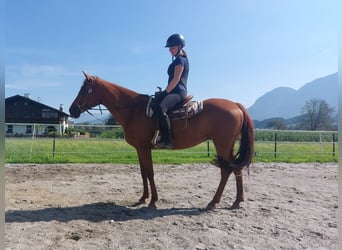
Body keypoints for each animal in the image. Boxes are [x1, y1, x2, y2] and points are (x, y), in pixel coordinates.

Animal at [69, 71, 254, 210]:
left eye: (85, 90)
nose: (72, 110)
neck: (133, 110)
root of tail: (235, 105)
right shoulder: (139, 148)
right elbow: (143, 172)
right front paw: (143, 198)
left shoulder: (144, 148)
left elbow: (150, 172)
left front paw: (153, 201)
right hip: (228, 145)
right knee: (235, 168)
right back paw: (237, 201)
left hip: (222, 144)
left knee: (226, 170)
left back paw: (214, 202)